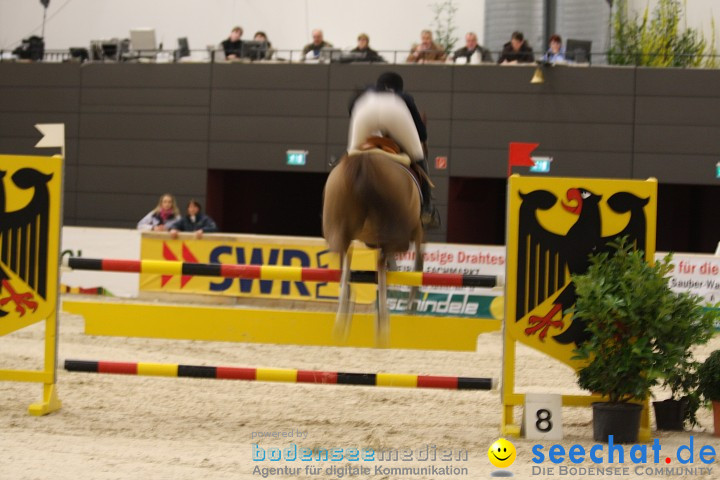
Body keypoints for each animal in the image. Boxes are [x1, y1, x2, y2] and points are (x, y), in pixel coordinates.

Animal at [322, 137, 428, 346]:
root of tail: (364, 163)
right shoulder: (415, 231)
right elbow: (417, 261)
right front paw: (410, 304)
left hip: (340, 230)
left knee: (345, 265)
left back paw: (343, 321)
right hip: (393, 233)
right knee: (379, 265)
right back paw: (383, 325)